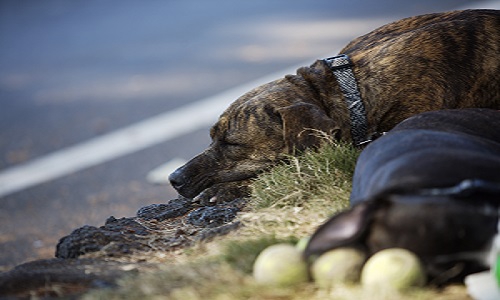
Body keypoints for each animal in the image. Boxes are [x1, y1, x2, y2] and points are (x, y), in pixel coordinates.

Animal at [169, 9, 500, 204]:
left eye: (232, 144)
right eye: (211, 137)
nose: (174, 178)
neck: (346, 91)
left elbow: (277, 175)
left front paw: (228, 189)